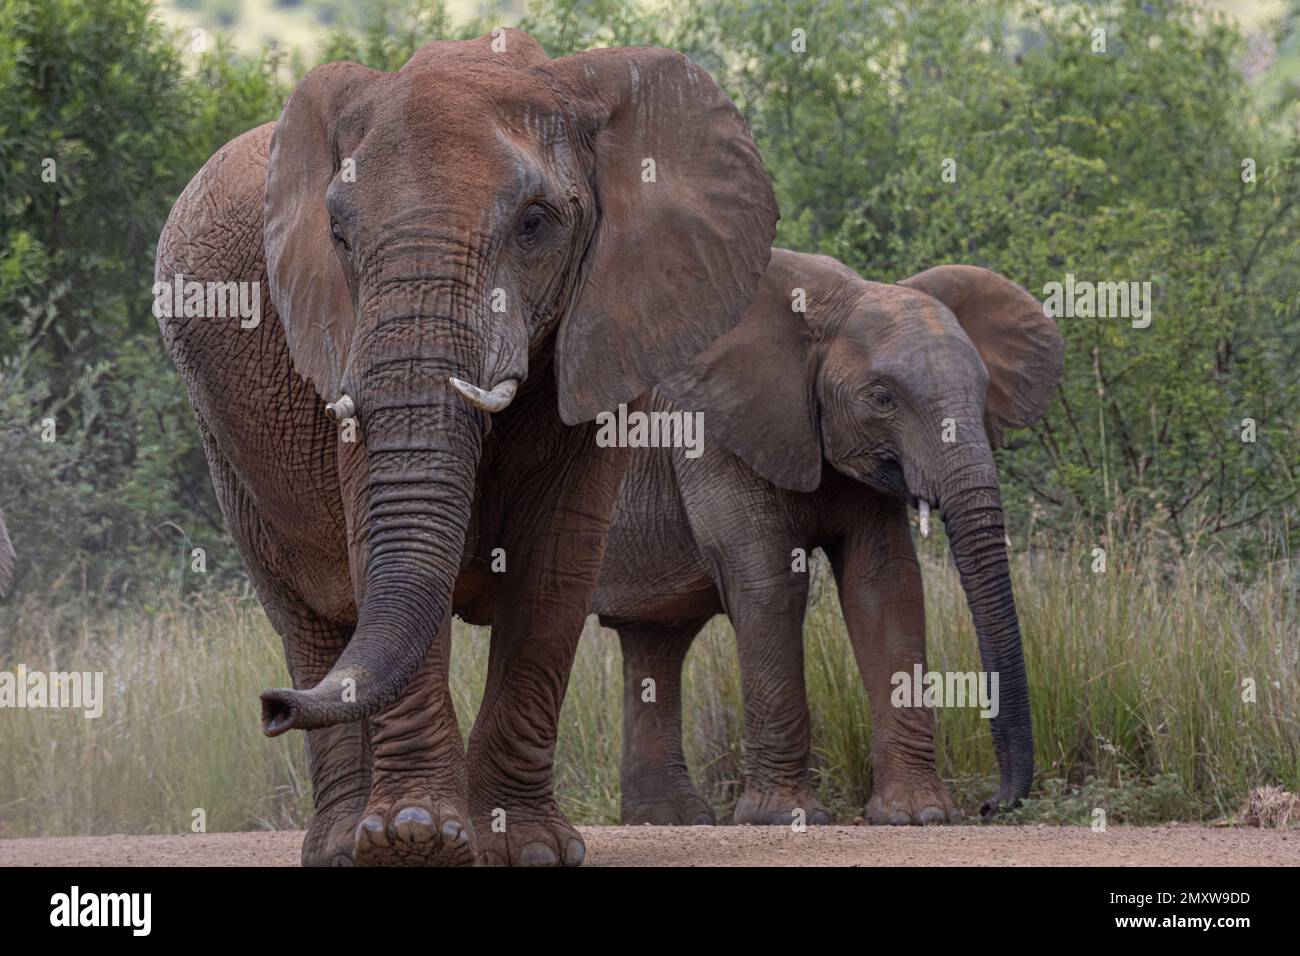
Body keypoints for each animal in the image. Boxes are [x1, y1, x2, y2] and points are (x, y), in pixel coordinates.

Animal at [157, 29, 774, 868]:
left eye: (537, 223)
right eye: (339, 234)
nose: (270, 708)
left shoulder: (610, 328)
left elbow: (556, 565)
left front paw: (527, 848)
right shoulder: (340, 341)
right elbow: (373, 544)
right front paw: (414, 839)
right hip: (223, 444)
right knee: (310, 615)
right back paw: (342, 841)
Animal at [595, 251, 1060, 827]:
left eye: (982, 392)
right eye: (881, 399)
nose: (991, 804)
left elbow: (886, 587)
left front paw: (918, 816)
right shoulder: (708, 434)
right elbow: (769, 585)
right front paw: (783, 819)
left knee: (655, 639)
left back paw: (671, 819)